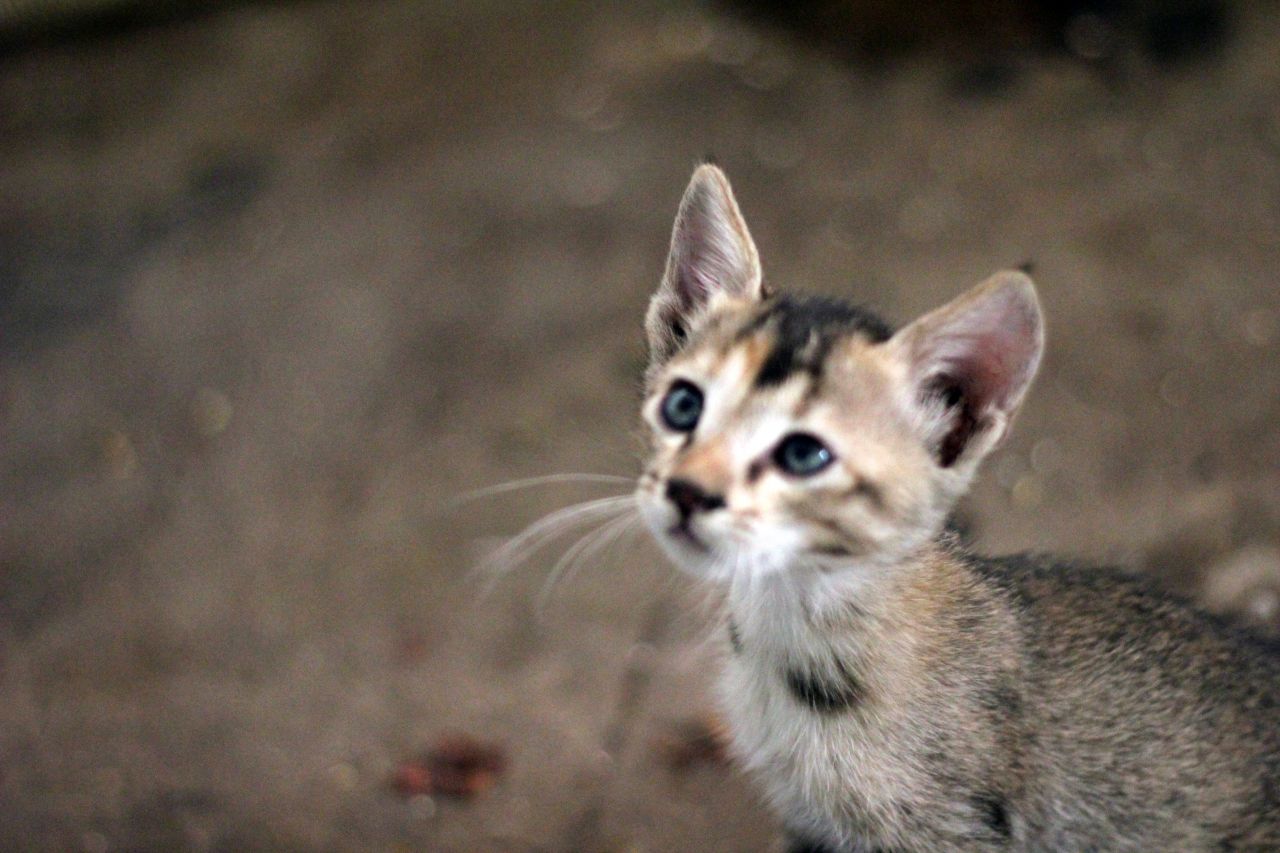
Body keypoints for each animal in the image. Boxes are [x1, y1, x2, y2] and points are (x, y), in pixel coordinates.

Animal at [640, 163, 1280, 850]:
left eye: (804, 455)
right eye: (683, 405)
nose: (686, 491)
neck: (789, 621)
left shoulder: (951, 830)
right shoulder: (808, 822)